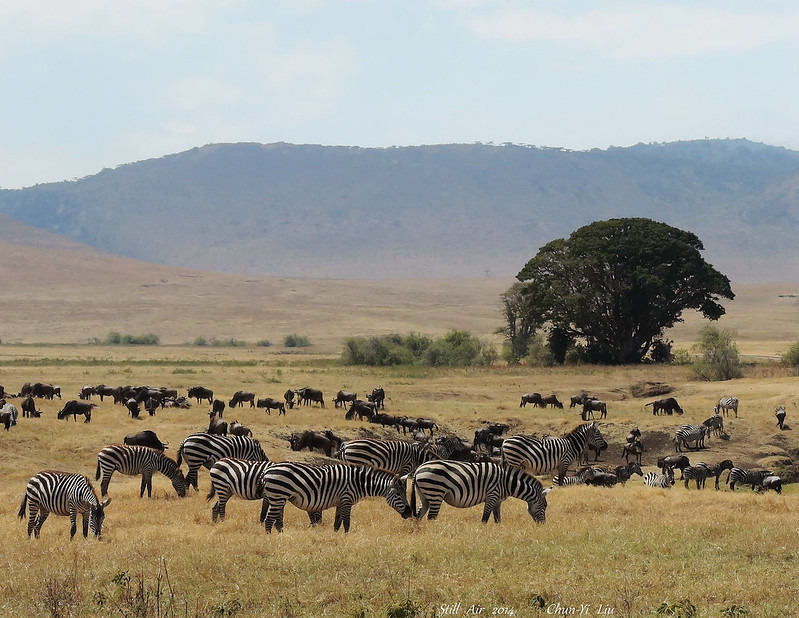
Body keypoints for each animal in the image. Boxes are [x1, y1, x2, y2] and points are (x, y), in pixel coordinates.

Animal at [260, 460, 412, 532]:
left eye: (404, 493)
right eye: (398, 494)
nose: (409, 512)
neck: (359, 482)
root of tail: (268, 470)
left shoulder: (340, 502)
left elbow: (337, 523)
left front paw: (337, 538)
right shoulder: (346, 499)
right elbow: (347, 523)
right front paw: (346, 539)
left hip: (280, 498)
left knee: (277, 521)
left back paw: (281, 536)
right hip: (278, 495)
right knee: (269, 520)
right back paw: (271, 539)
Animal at [412, 458, 552, 520]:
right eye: (545, 506)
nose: (542, 524)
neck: (507, 482)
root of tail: (418, 469)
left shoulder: (497, 501)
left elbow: (497, 519)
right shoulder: (492, 496)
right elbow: (485, 518)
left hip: (425, 496)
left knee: (418, 516)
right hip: (435, 493)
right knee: (431, 517)